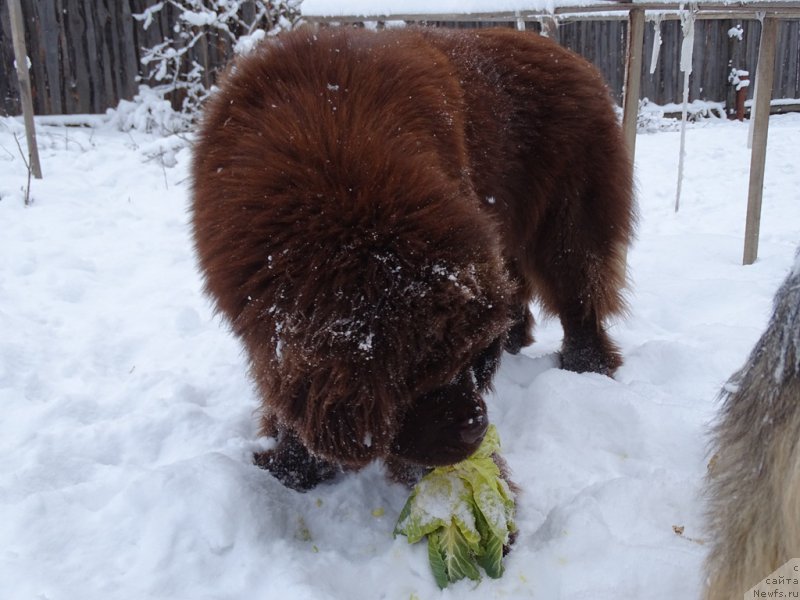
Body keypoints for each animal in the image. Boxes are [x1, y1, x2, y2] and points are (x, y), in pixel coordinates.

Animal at [191, 25, 636, 490]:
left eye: (468, 361)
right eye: (418, 376)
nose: (477, 426)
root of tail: (573, 58)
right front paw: (291, 464)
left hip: (568, 218)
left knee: (577, 295)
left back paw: (586, 366)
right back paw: (517, 338)